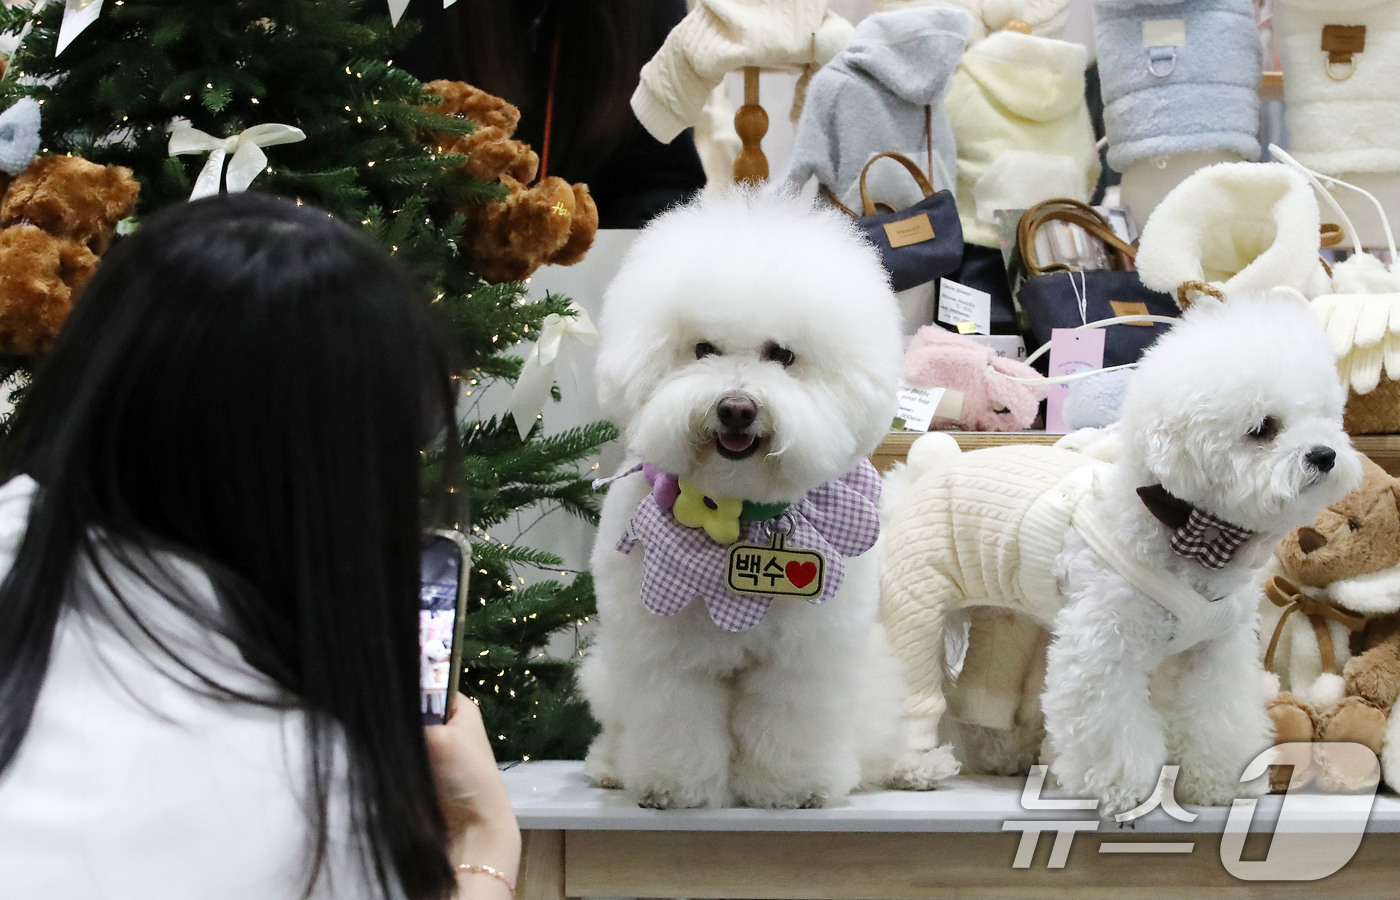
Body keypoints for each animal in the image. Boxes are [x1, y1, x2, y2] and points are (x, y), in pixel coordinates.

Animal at [879, 295, 1360, 817]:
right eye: (1262, 429)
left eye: (1325, 417)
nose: (1325, 454)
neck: (1187, 531)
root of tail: (926, 470)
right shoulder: (1102, 650)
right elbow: (1113, 728)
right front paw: (1125, 790)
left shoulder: (1215, 651)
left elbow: (1219, 717)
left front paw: (1219, 783)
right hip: (915, 609)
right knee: (906, 697)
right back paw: (915, 766)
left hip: (1008, 624)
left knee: (985, 698)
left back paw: (1002, 754)